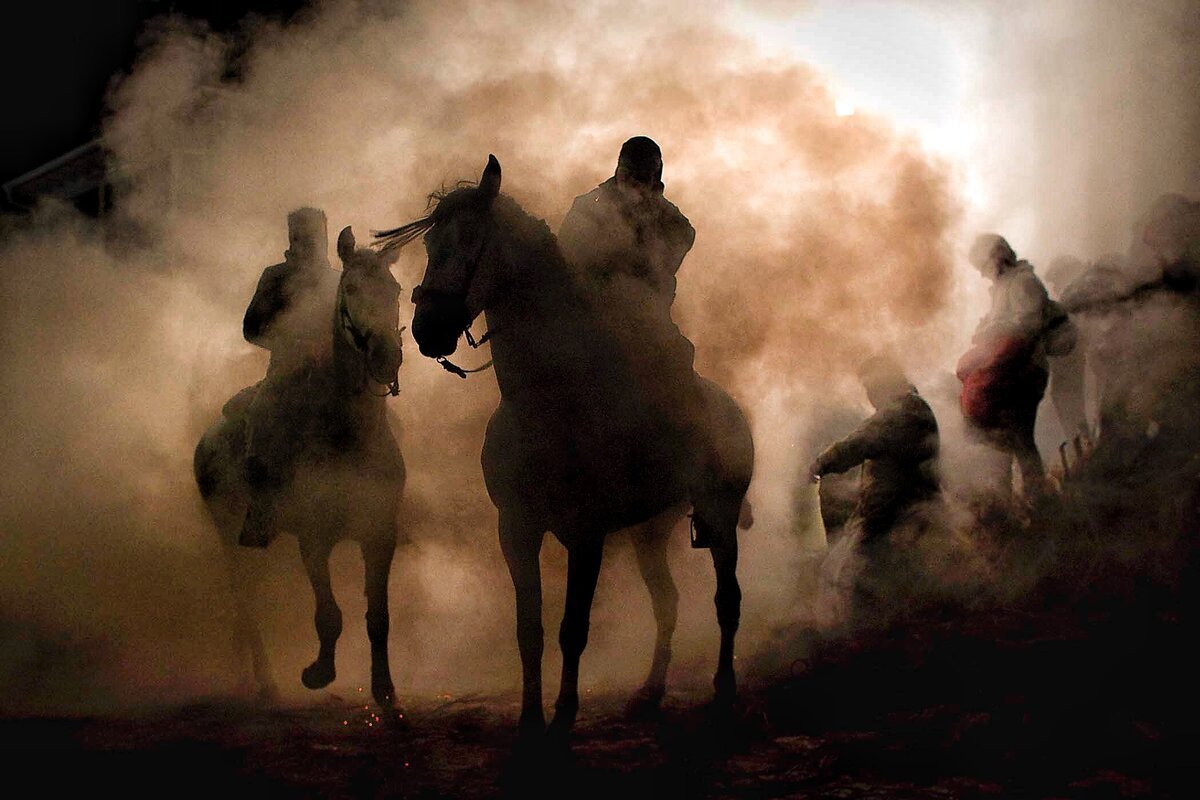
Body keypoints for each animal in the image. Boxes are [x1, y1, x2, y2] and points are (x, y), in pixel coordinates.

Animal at [193, 225, 408, 705]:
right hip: (228, 531)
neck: (346, 437)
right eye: (350, 289)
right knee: (245, 600)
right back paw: (265, 684)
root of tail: (209, 437)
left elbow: (379, 617)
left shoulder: (379, 534)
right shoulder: (313, 539)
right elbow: (329, 614)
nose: (386, 356)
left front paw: (385, 691)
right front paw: (318, 672)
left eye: (395, 290)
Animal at [391, 155, 748, 738]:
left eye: (471, 240)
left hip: (719, 513)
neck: (549, 406)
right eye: (430, 244)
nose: (428, 329)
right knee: (667, 603)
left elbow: (572, 629)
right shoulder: (516, 530)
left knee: (727, 600)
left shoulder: (586, 536)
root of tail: (731, 408)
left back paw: (724, 693)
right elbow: (529, 629)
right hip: (651, 531)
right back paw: (649, 693)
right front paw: (531, 720)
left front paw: (561, 719)